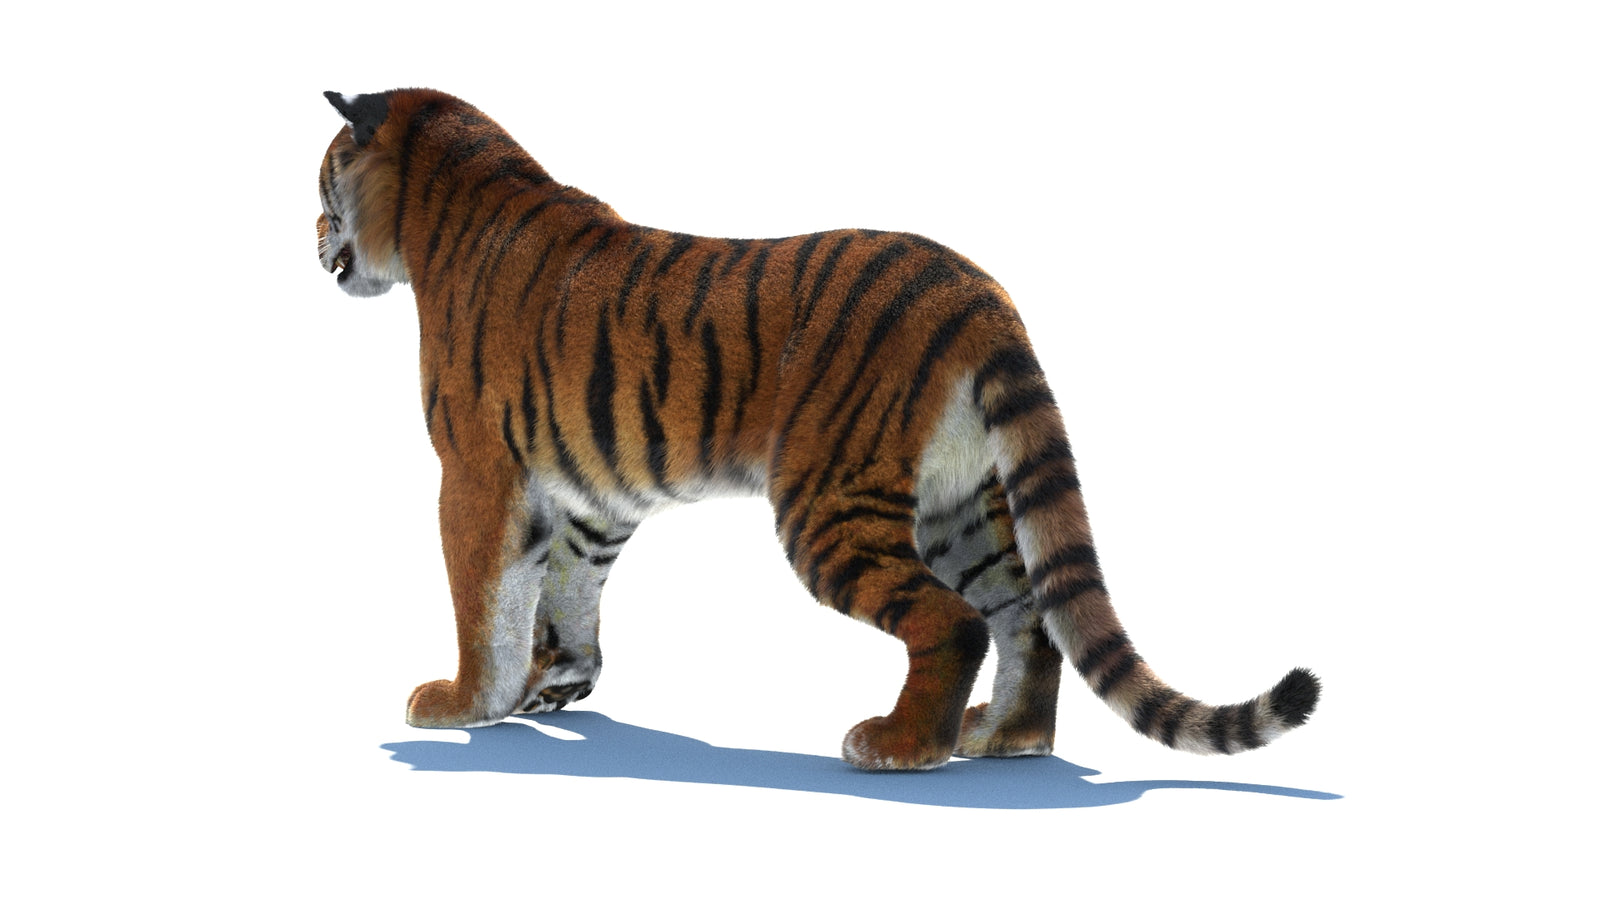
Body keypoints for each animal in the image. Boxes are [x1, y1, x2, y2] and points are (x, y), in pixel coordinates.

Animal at [315, 87, 1319, 771]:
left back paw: (902, 745)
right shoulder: (595, 498)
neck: (433, 221)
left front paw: (460, 701)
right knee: (1029, 616)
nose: (311, 236)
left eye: (324, 181)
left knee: (954, 622)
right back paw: (1005, 736)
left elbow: (483, 597)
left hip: (828, 504)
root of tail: (978, 294)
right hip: (959, 507)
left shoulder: (476, 471)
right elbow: (565, 589)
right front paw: (551, 684)